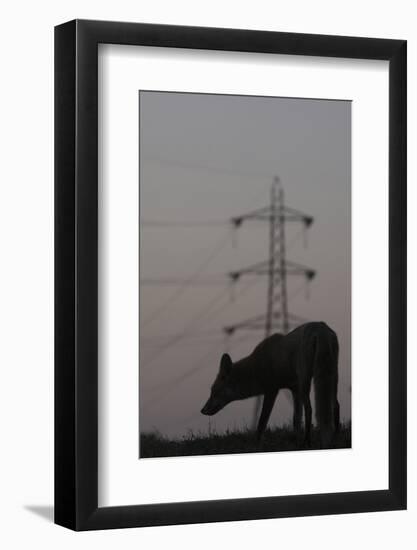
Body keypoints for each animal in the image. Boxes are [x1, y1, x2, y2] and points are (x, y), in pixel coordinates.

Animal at [200, 324, 340, 448]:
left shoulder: (272, 390)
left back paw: (308, 442)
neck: (256, 367)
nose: (202, 410)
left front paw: (256, 444)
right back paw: (335, 439)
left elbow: (262, 421)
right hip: (331, 378)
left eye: (214, 392)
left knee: (310, 409)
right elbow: (296, 420)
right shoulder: (294, 389)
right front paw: (296, 442)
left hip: (306, 381)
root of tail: (320, 327)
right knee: (335, 405)